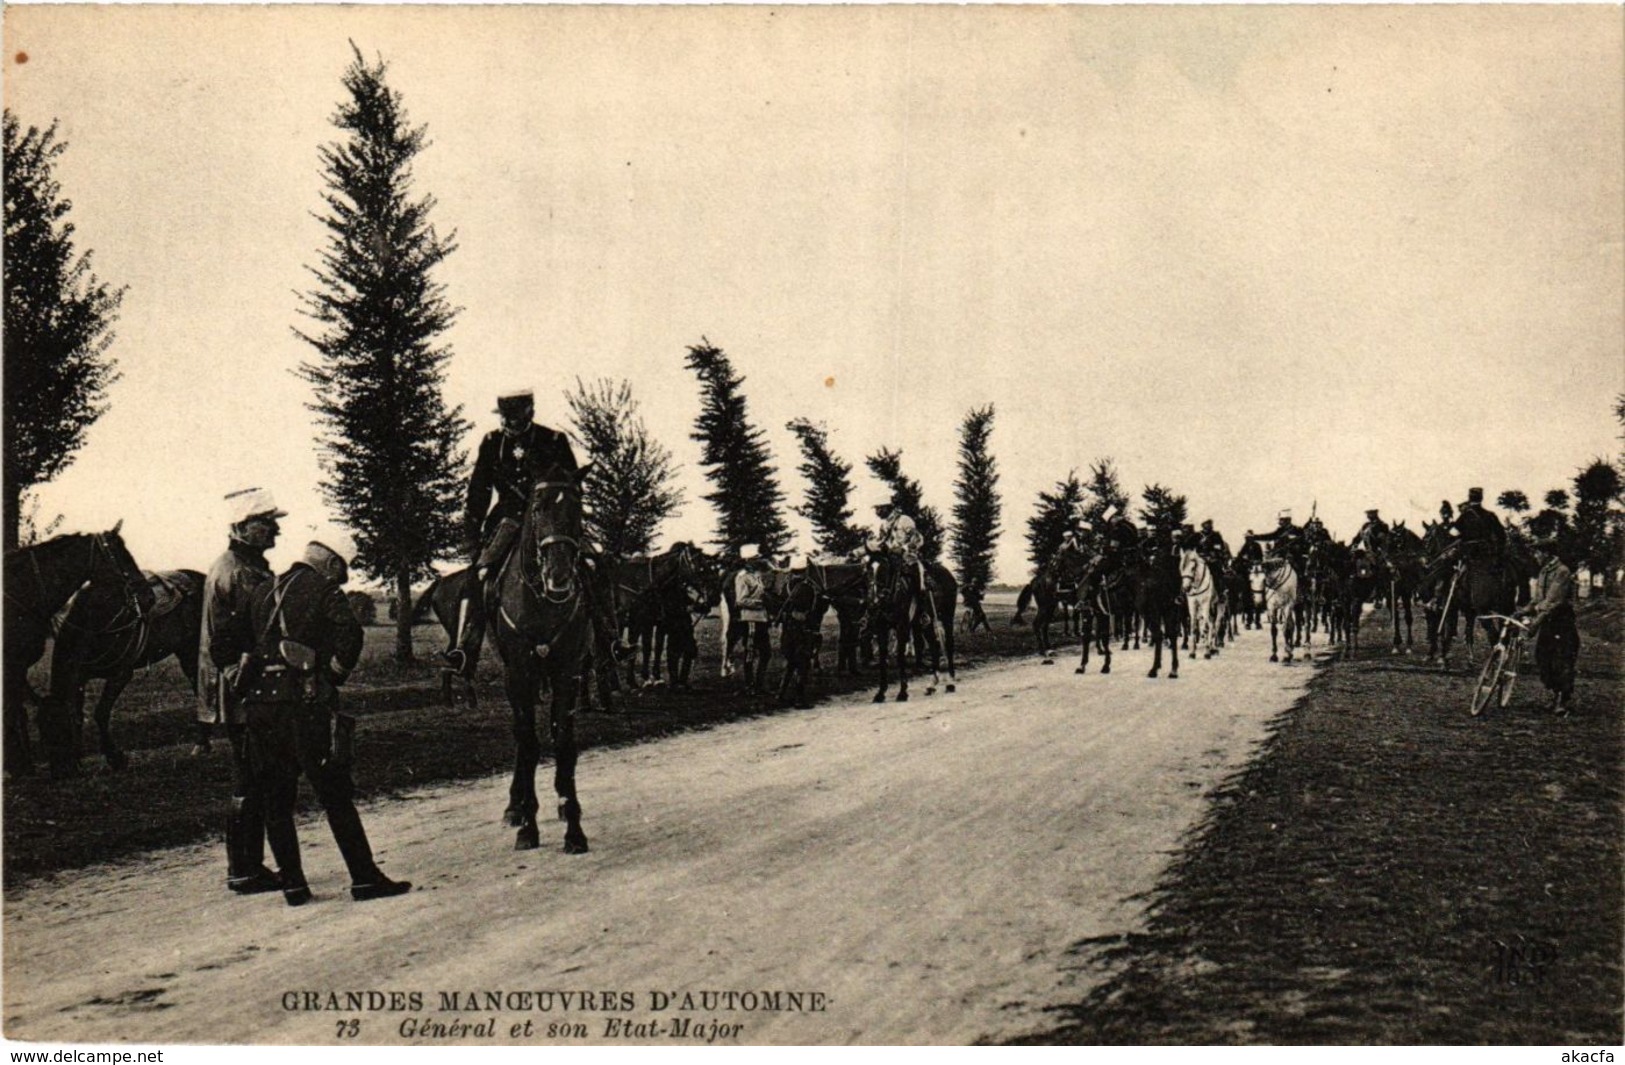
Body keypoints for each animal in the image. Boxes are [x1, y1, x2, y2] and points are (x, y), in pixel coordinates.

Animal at [3, 530, 152, 780]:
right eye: (121, 554)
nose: (148, 595)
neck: (21, 591)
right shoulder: (13, 666)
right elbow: (13, 712)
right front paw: (20, 766)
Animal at [49, 572, 204, 770]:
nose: (62, 768)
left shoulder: (120, 675)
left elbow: (100, 713)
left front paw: (115, 757)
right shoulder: (79, 677)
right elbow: (77, 714)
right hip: (186, 652)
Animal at [494, 461, 604, 852]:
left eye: (579, 507)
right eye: (538, 508)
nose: (559, 575)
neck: (540, 599)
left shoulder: (567, 671)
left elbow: (563, 742)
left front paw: (573, 826)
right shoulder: (519, 673)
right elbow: (528, 744)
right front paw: (527, 824)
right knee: (520, 735)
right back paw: (515, 807)